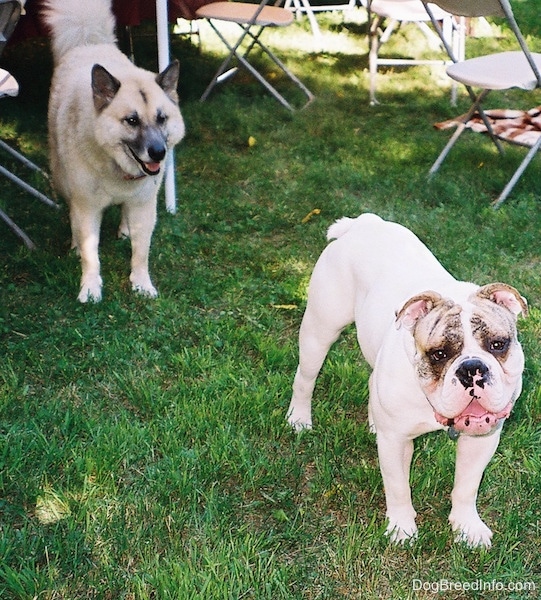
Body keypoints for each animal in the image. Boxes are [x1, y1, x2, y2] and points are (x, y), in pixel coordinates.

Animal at [44, 0, 184, 300]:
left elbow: (141, 252)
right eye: (131, 120)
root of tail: (89, 43)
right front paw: (90, 288)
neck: (116, 167)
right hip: (62, 180)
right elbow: (91, 254)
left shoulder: (144, 205)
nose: (159, 153)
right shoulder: (87, 208)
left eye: (162, 118)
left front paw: (142, 284)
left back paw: (124, 228)